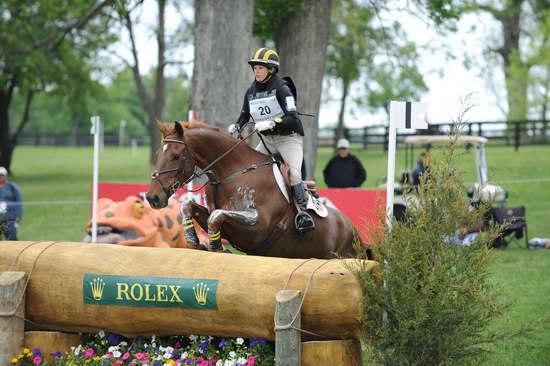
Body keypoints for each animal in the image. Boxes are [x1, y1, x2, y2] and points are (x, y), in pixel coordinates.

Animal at [147, 121, 364, 258]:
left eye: (176, 156)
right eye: (158, 154)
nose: (152, 198)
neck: (232, 172)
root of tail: (352, 229)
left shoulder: (257, 226)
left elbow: (216, 216)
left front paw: (216, 247)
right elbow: (189, 207)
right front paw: (193, 242)